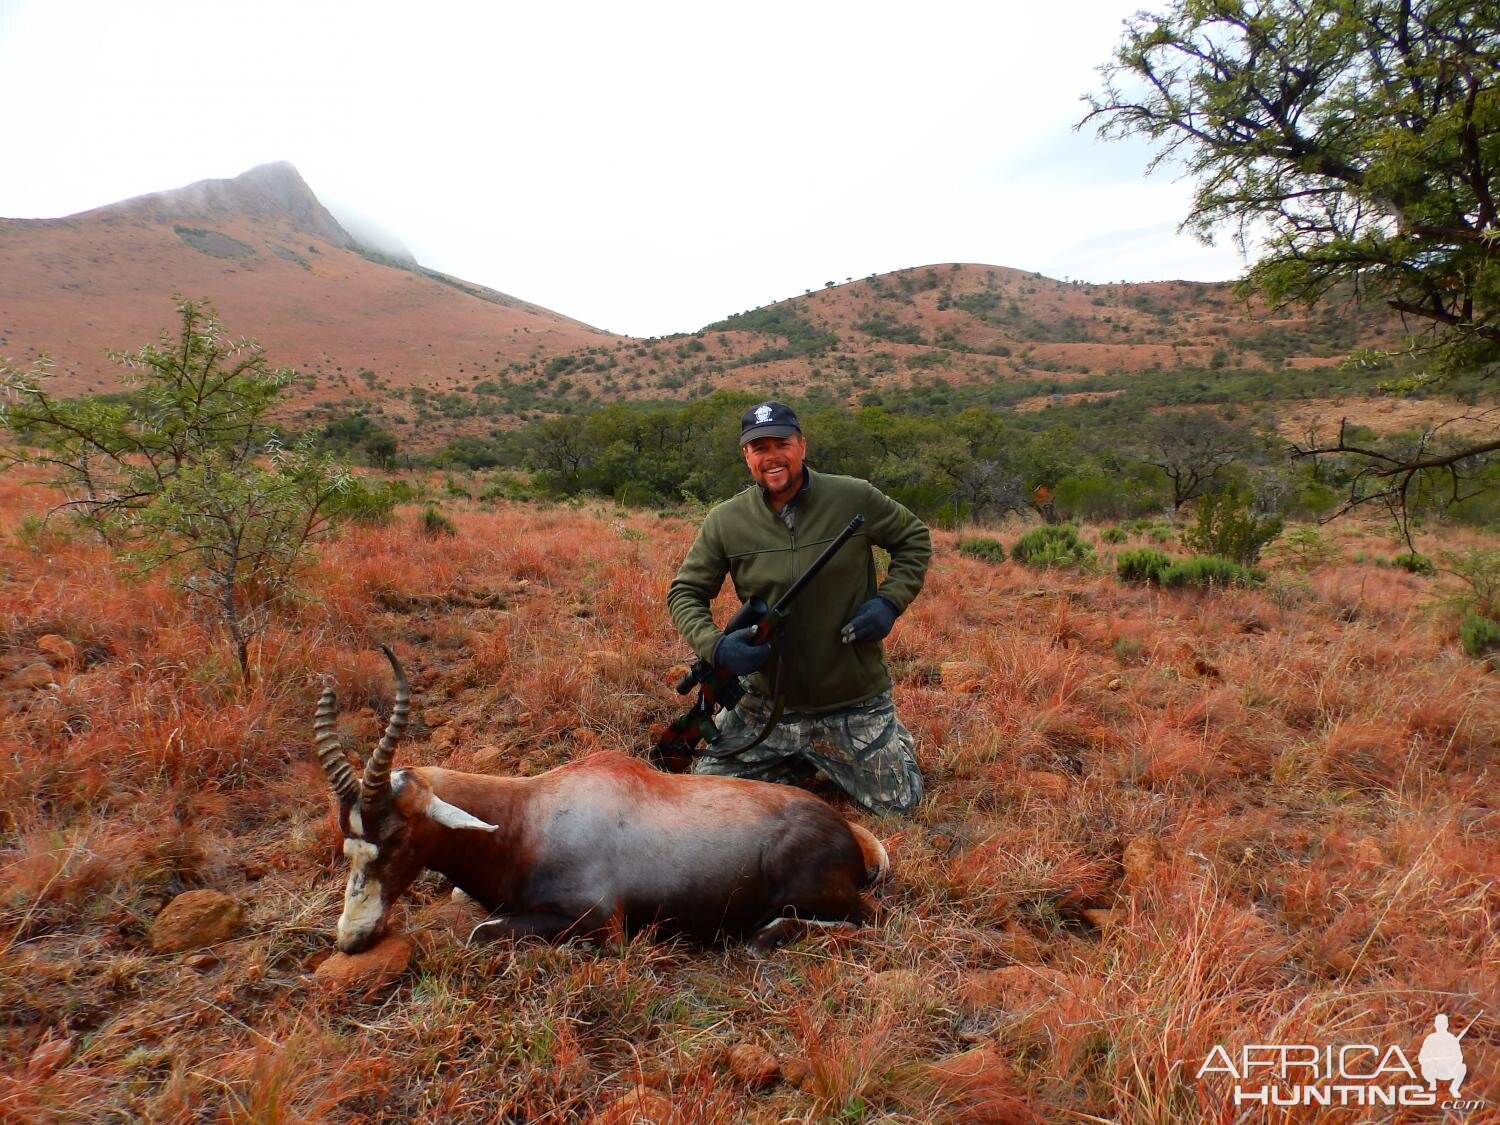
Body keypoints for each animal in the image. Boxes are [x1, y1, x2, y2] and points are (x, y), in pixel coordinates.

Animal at [309, 648, 882, 954]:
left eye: (397, 837)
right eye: (346, 841)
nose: (351, 938)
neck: (529, 816)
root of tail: (849, 835)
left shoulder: (598, 923)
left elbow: (479, 931)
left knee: (863, 917)